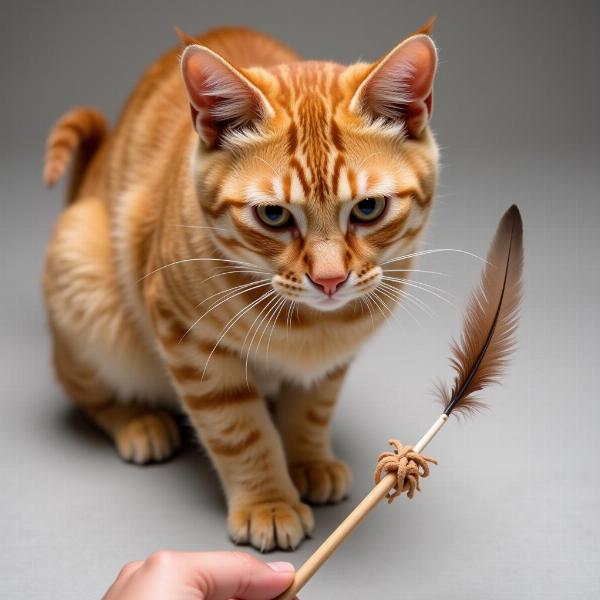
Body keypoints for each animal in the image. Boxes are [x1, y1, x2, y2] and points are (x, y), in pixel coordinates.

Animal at [41, 23, 436, 552]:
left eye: (368, 208)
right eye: (273, 215)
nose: (330, 279)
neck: (311, 326)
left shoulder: (333, 361)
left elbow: (312, 407)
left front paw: (308, 459)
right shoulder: (190, 343)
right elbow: (240, 431)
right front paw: (268, 501)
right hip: (84, 280)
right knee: (83, 388)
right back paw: (139, 421)